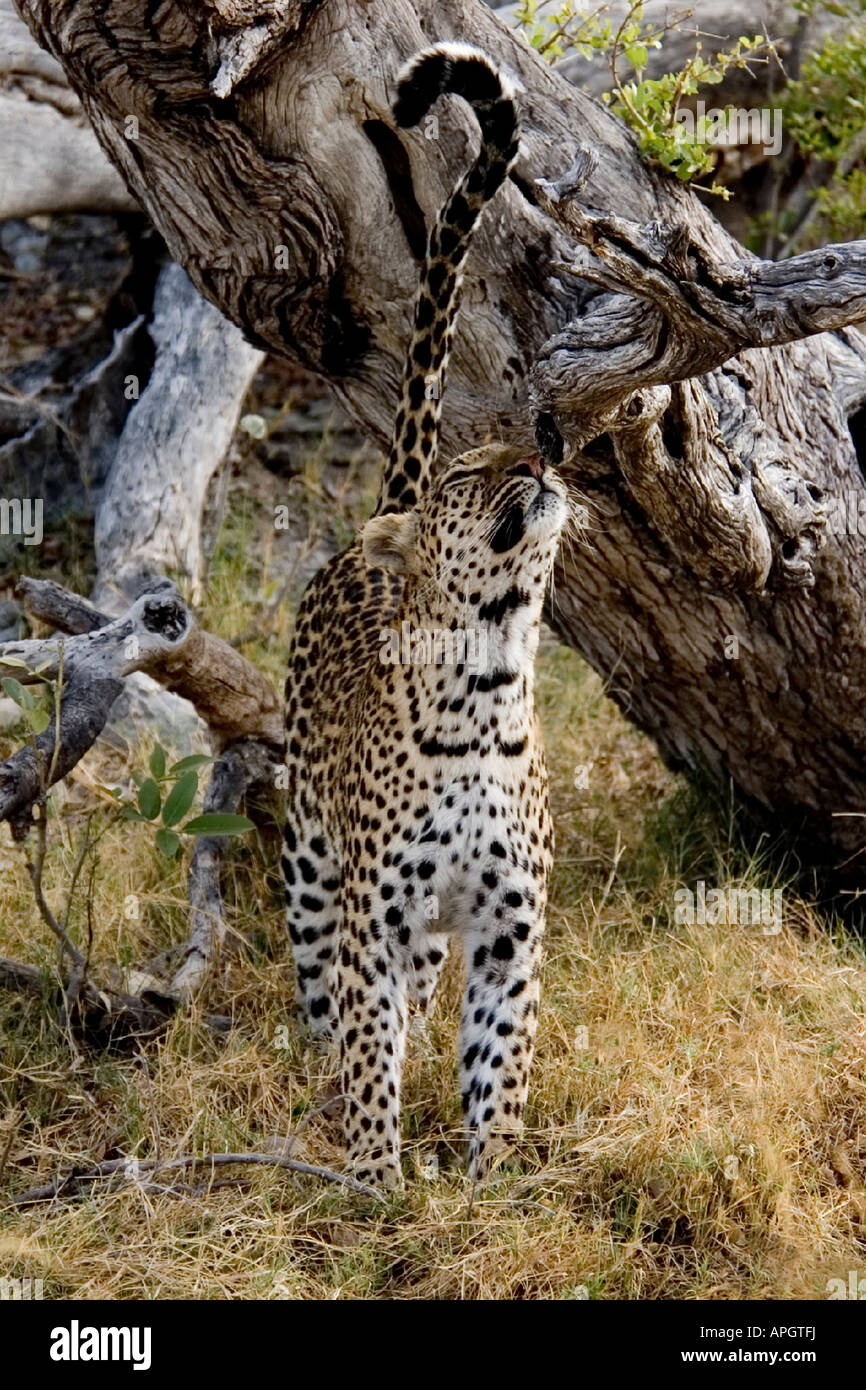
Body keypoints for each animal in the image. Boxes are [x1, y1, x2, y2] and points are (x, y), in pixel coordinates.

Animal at [280, 40, 572, 1184]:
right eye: (470, 470)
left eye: (526, 444)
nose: (541, 458)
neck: (490, 679)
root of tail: (382, 512)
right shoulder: (375, 918)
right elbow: (370, 1049)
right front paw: (372, 1180)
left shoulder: (504, 929)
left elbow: (501, 1055)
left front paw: (491, 1182)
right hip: (310, 864)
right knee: (328, 997)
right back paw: (322, 1088)